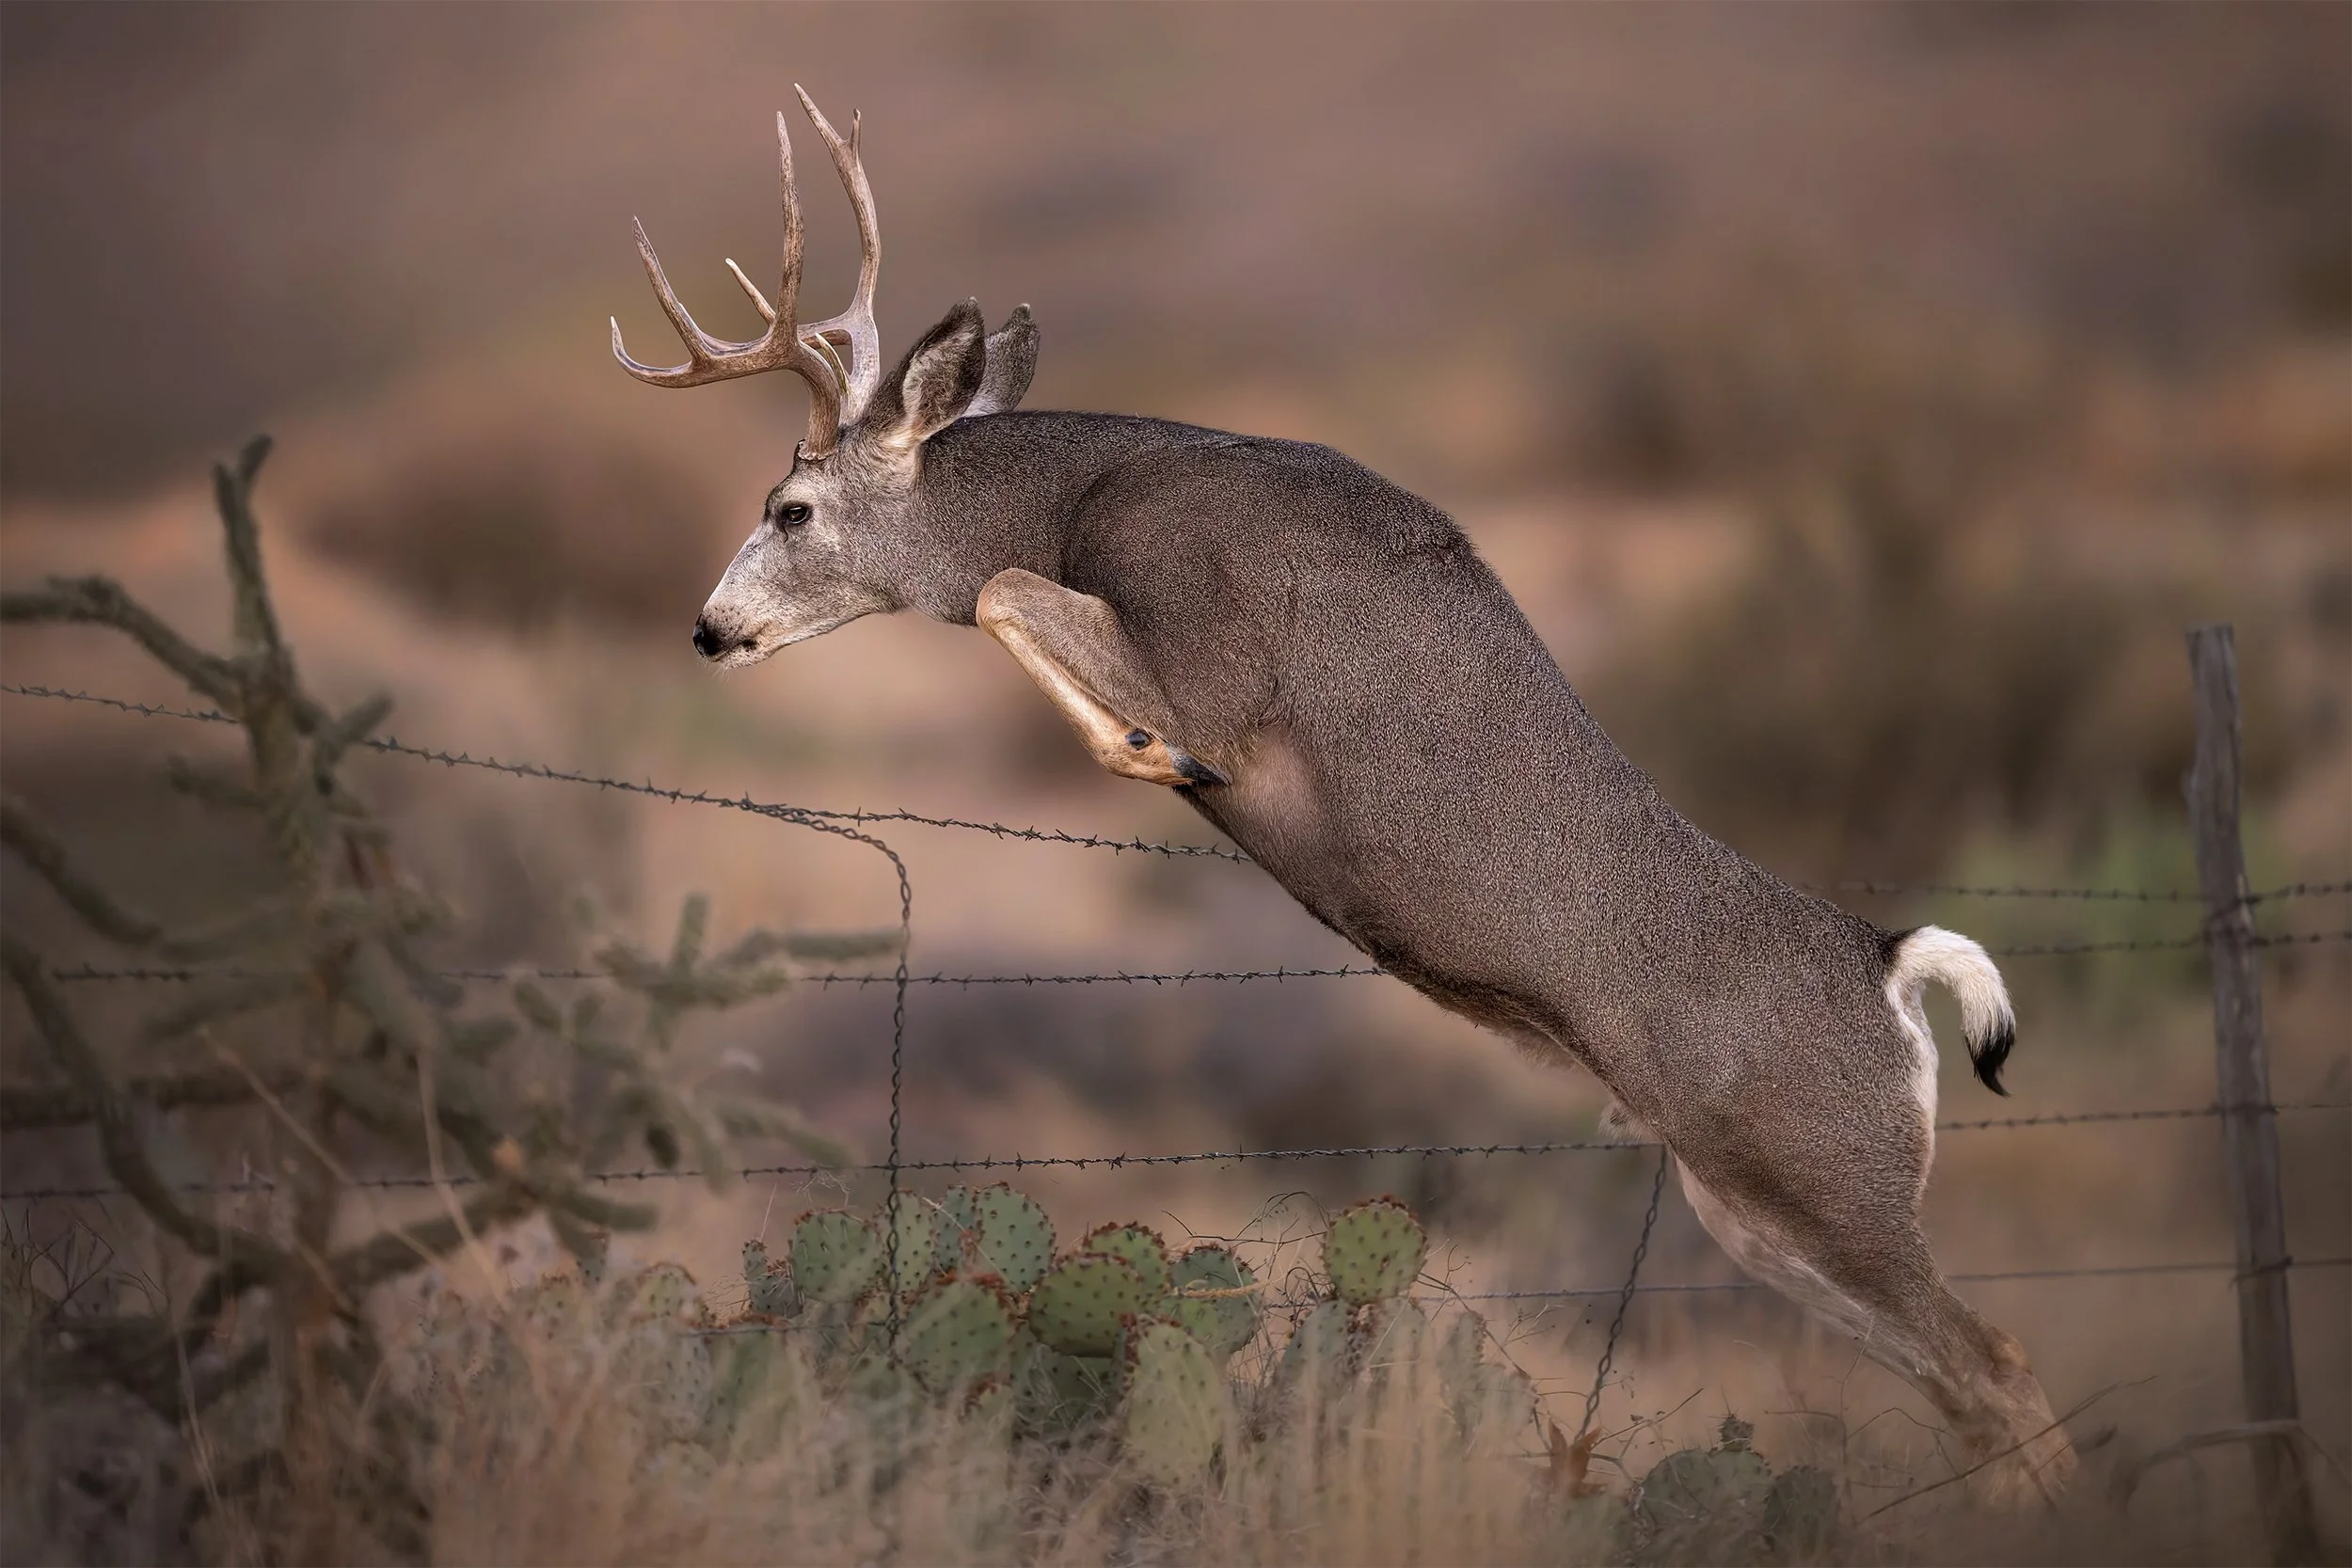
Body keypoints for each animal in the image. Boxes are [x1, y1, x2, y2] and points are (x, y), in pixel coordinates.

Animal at [611, 93, 2078, 1503]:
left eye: (790, 507)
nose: (707, 628)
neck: (1085, 496)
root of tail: (1891, 965)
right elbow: (1006, 598)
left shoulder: (1212, 658)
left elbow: (1005, 595)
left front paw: (1159, 753)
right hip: (1755, 1211)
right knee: (1968, 1381)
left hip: (1824, 1176)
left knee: (2001, 1363)